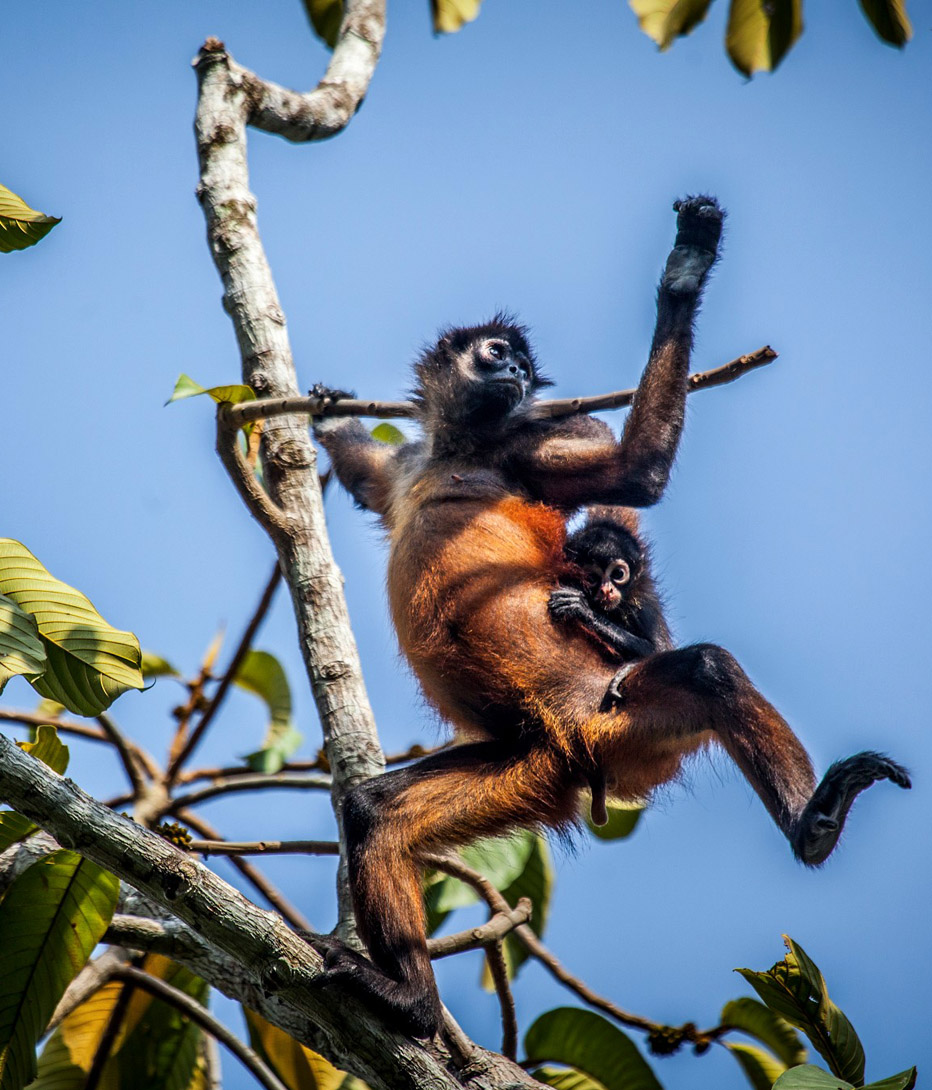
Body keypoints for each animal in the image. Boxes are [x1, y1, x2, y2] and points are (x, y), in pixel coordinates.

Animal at [312, 196, 910, 1039]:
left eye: (519, 365)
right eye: (497, 354)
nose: (513, 371)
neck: (459, 452)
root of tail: (570, 754)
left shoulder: (529, 447)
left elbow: (636, 475)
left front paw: (686, 267)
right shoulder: (406, 466)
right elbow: (365, 472)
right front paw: (326, 416)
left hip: (611, 712)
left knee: (706, 667)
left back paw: (812, 827)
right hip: (523, 761)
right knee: (373, 812)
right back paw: (415, 1002)